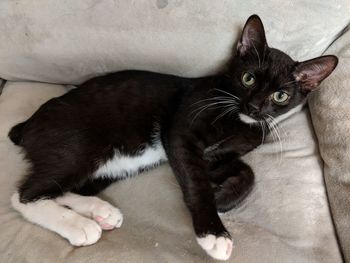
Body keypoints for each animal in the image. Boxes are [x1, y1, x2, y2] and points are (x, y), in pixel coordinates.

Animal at [8, 14, 336, 262]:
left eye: (280, 96)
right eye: (248, 78)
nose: (255, 107)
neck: (239, 119)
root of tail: (29, 123)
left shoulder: (218, 156)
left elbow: (247, 173)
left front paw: (224, 198)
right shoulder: (180, 133)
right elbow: (196, 183)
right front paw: (213, 232)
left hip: (108, 168)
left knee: (58, 190)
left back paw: (101, 212)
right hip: (80, 149)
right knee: (24, 196)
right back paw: (80, 226)